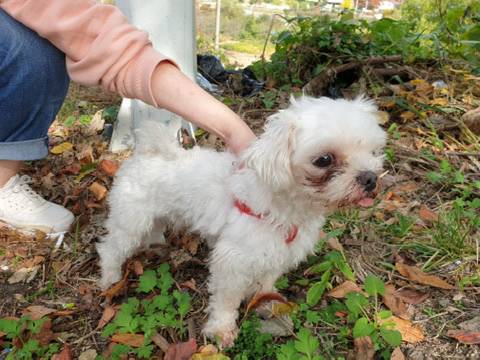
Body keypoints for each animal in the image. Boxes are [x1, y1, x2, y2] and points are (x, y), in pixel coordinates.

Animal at [97, 95, 386, 346]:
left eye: (372, 151)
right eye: (324, 159)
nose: (370, 178)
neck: (283, 207)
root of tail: (150, 151)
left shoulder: (276, 254)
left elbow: (265, 283)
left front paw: (264, 301)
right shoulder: (232, 261)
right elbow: (226, 300)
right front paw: (221, 329)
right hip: (131, 219)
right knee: (111, 249)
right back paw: (110, 279)